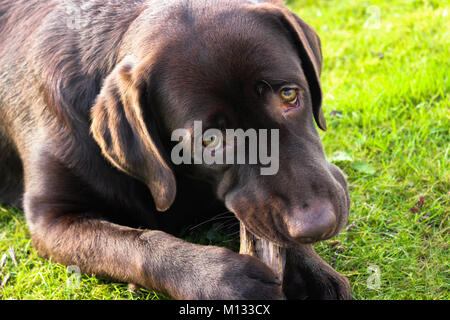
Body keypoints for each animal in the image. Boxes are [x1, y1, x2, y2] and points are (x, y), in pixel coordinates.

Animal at [0, 0, 352, 300]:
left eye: (289, 94)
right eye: (211, 140)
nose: (317, 225)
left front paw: (312, 270)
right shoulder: (51, 218)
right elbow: (134, 244)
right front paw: (222, 280)